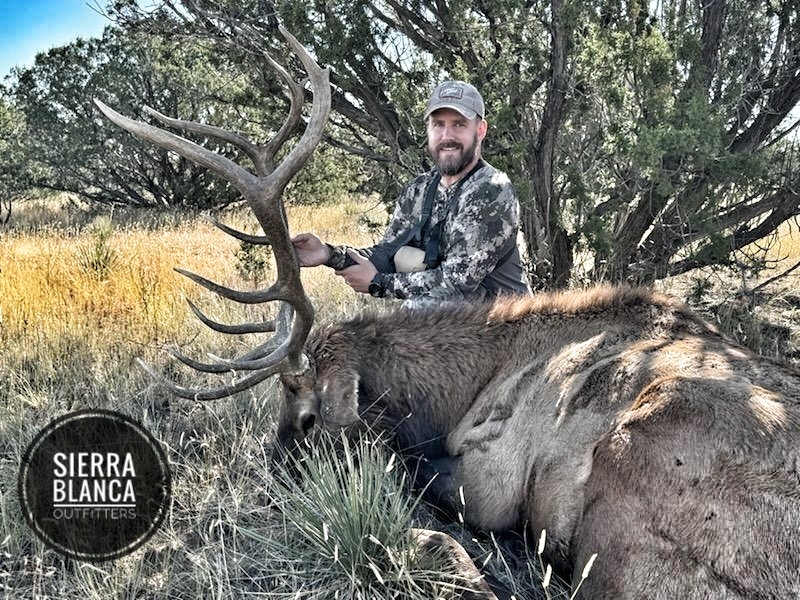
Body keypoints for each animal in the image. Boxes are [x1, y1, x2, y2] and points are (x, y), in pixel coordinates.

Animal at [97, 24, 800, 600]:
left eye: (305, 414)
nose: (271, 478)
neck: (450, 396)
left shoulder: (489, 482)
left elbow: (422, 481)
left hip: (631, 489)